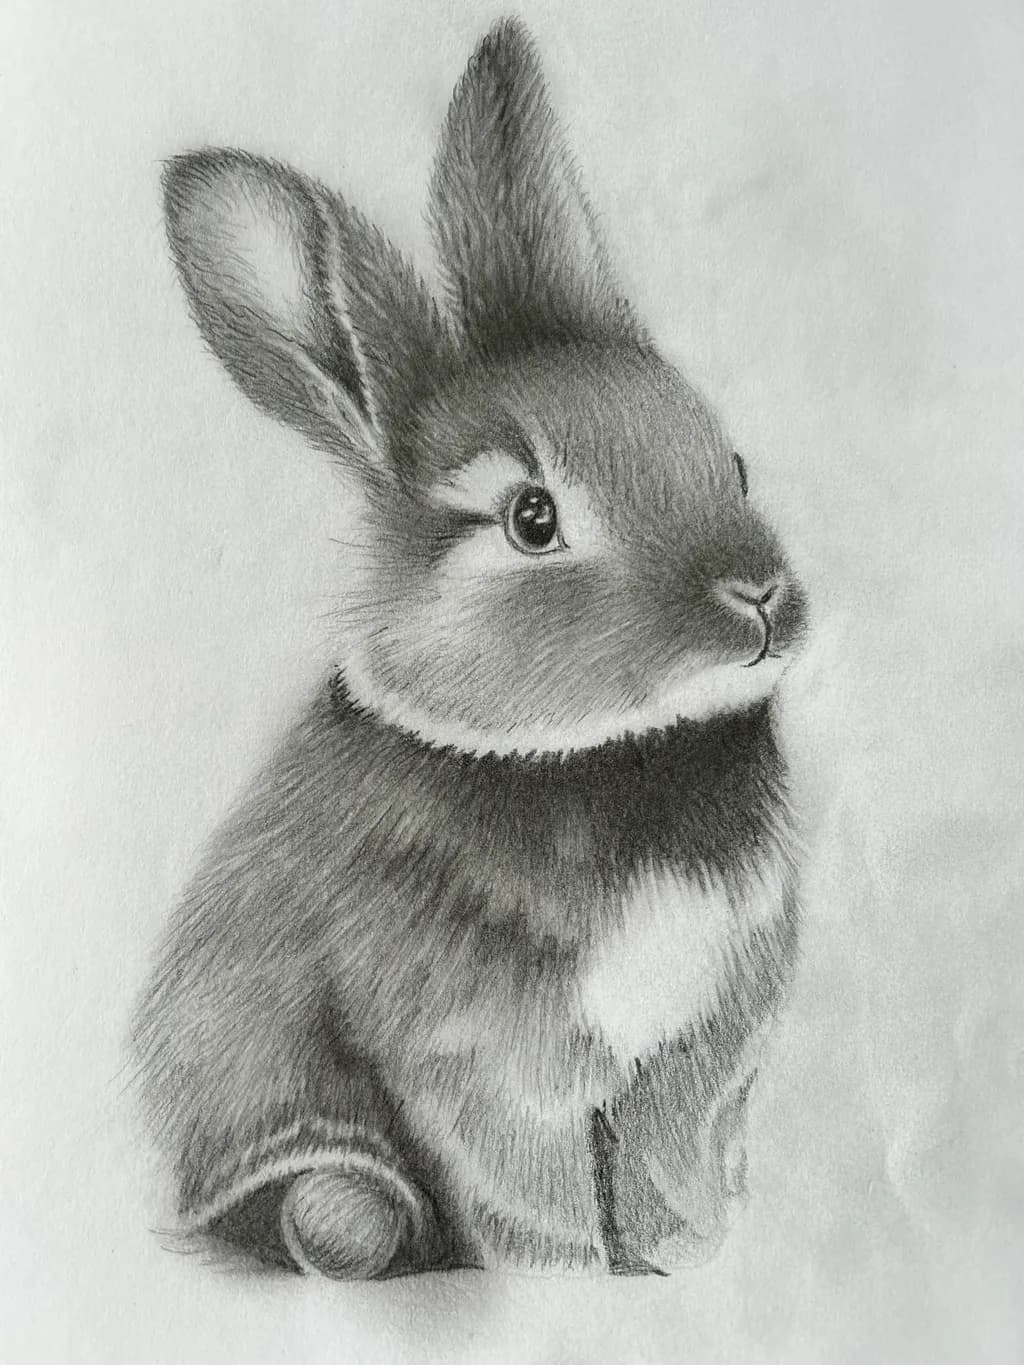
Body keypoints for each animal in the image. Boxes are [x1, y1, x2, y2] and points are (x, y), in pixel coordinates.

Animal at [133, 17, 809, 1280]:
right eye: (531, 519)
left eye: (731, 464)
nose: (759, 598)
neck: (608, 758)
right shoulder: (481, 1067)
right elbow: (533, 1191)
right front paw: (579, 1279)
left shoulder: (697, 1055)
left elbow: (669, 1165)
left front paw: (687, 1257)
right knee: (343, 1208)